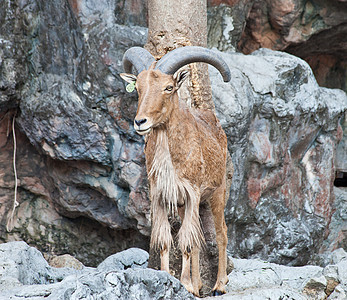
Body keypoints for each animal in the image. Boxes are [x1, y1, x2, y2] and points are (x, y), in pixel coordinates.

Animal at [121, 46, 232, 296]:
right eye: (138, 88)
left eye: (168, 87)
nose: (140, 122)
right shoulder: (161, 196)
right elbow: (166, 240)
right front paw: (167, 277)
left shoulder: (191, 193)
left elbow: (187, 243)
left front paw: (187, 285)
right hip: (188, 205)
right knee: (198, 237)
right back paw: (200, 285)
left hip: (218, 192)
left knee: (221, 233)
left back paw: (219, 285)